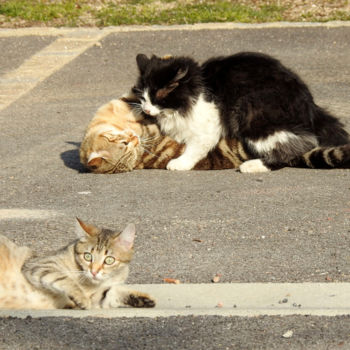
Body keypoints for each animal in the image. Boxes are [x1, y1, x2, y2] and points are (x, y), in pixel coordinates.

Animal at [0, 219, 154, 308]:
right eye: (88, 256)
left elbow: (111, 293)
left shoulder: (98, 296)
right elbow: (65, 279)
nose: (94, 271)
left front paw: (141, 299)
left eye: (109, 260)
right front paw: (80, 297)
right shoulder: (38, 264)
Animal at [131, 52, 348, 172]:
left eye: (158, 96)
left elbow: (195, 147)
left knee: (298, 146)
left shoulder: (209, 124)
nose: (146, 109)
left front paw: (180, 163)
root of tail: (310, 104)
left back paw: (253, 166)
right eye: (143, 96)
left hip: (252, 115)